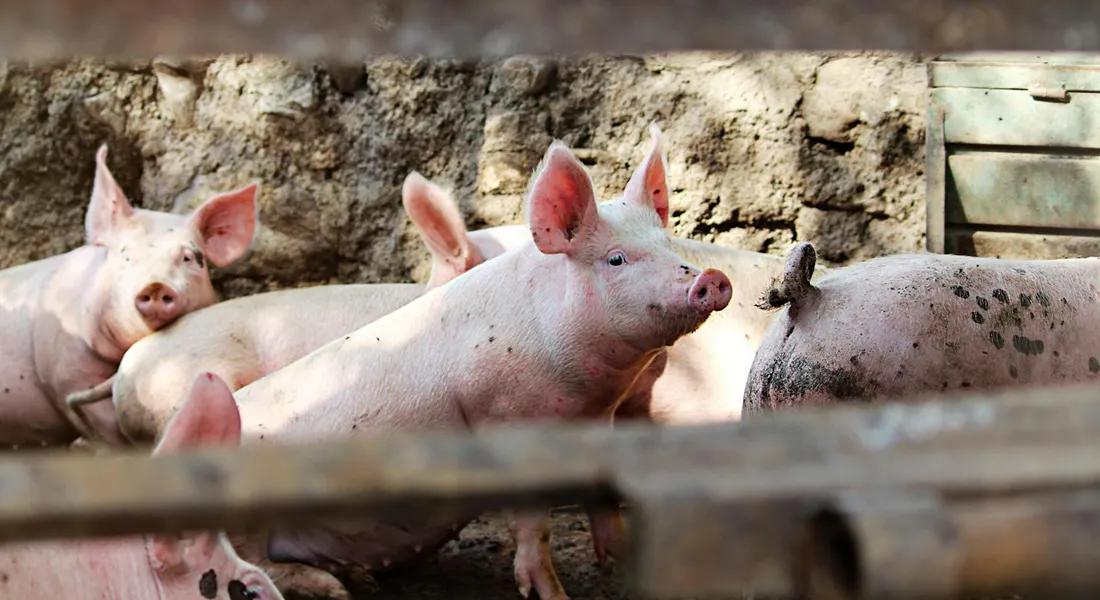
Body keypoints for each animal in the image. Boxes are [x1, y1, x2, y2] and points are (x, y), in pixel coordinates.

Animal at [224, 125, 731, 600]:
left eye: (668, 246)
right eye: (617, 259)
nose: (711, 278)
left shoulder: (597, 420)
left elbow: (603, 497)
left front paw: (622, 559)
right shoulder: (510, 420)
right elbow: (534, 527)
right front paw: (554, 594)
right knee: (252, 565)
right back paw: (338, 587)